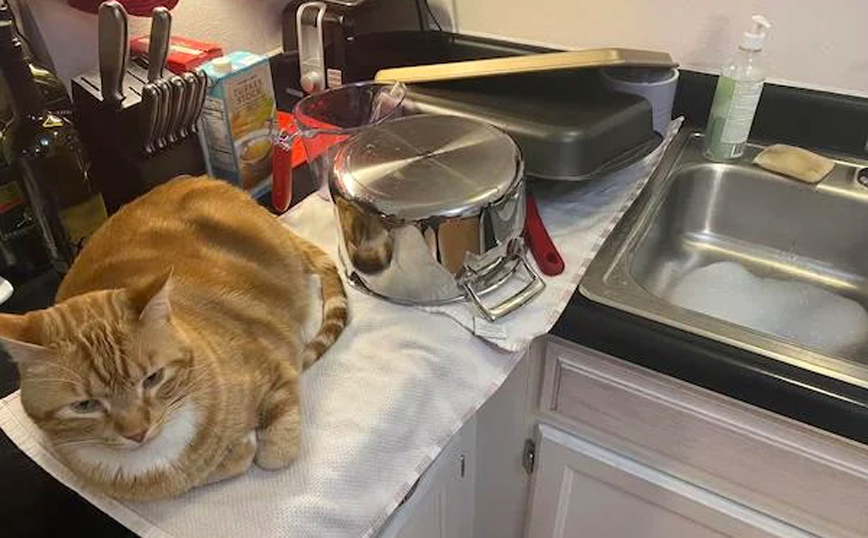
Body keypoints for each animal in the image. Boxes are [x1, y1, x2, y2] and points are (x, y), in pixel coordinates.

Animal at [0, 176, 347, 500]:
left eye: (153, 378)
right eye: (84, 405)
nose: (137, 433)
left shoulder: (277, 359)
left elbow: (274, 455)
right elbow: (218, 468)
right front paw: (237, 448)